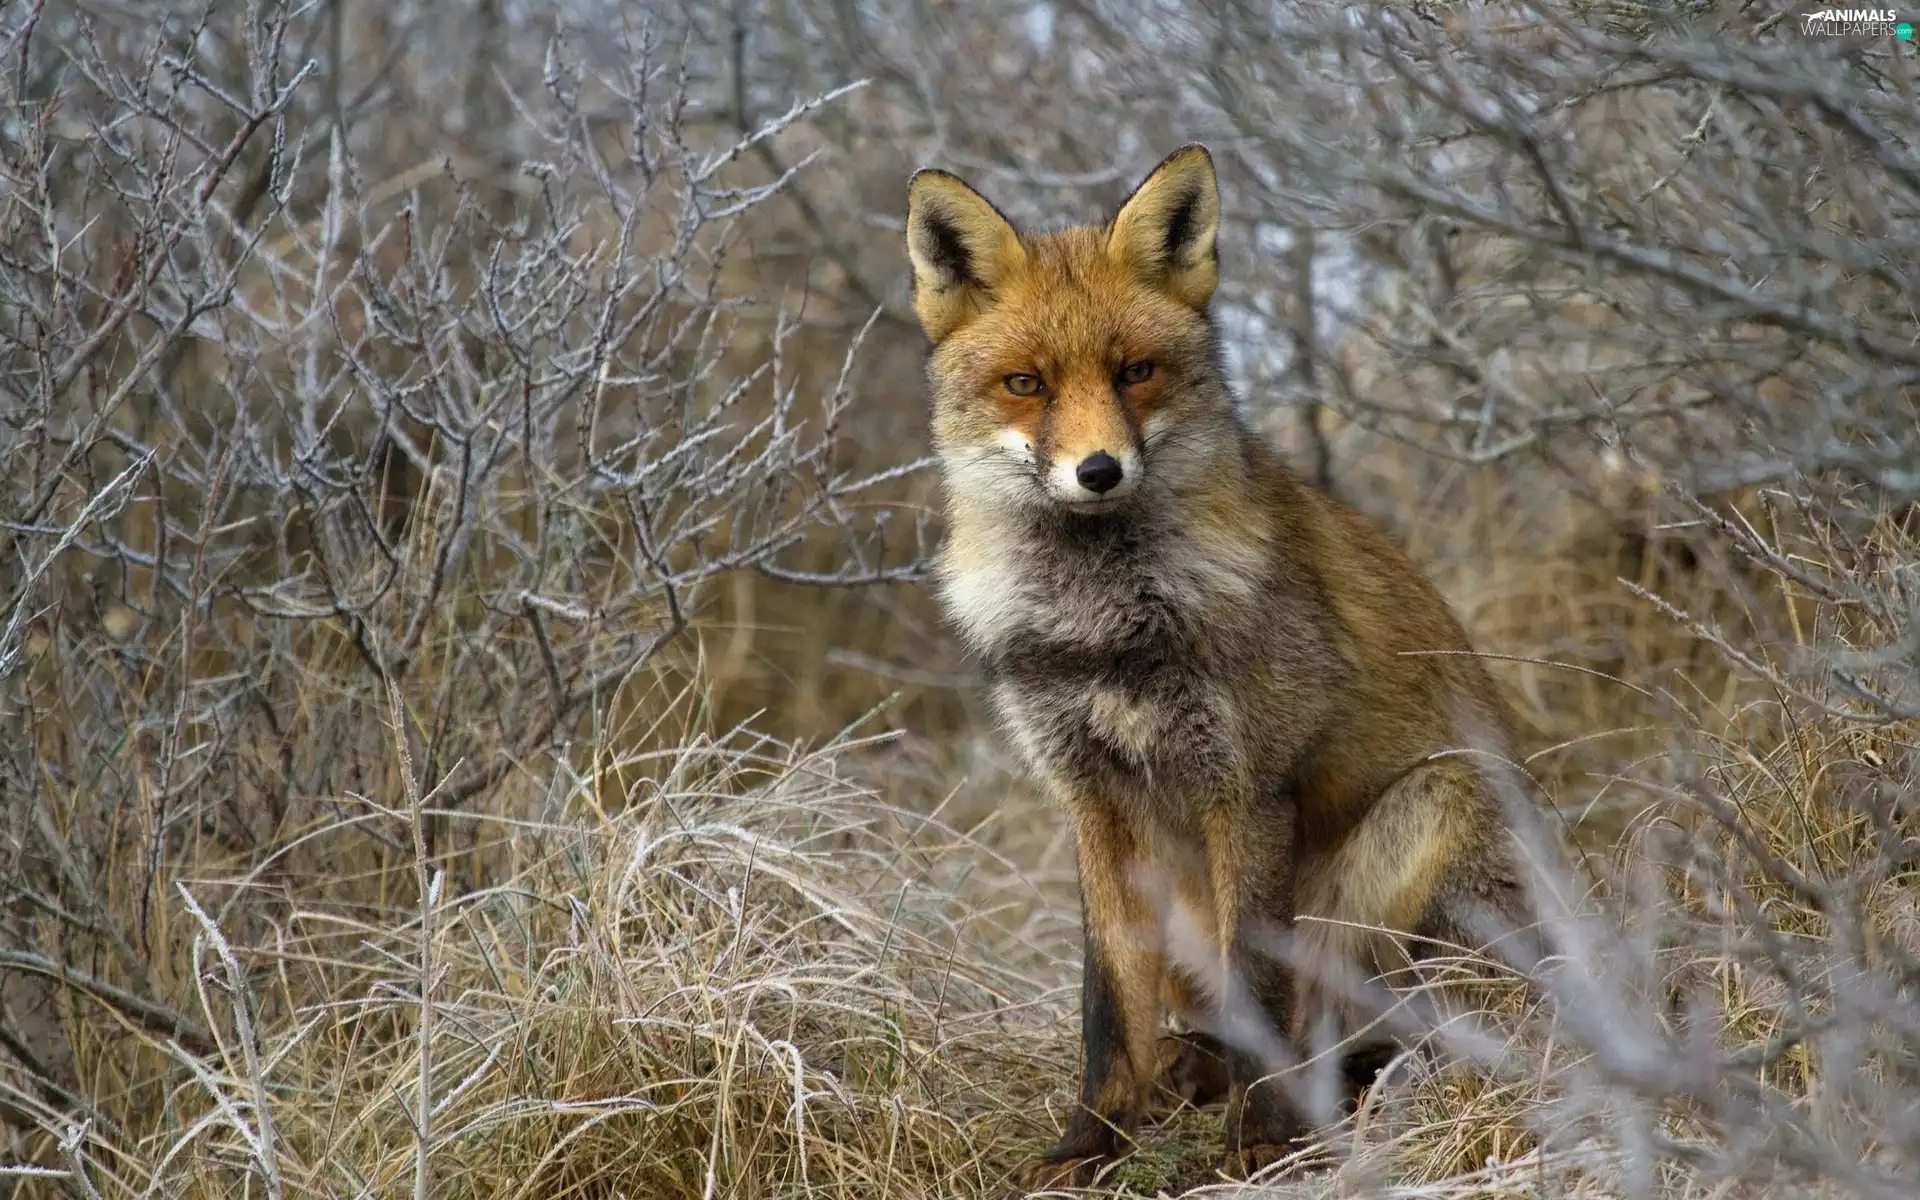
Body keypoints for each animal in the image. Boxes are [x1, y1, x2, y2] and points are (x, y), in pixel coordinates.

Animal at [904, 144, 1545, 1190]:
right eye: (1026, 383)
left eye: (1136, 372)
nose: (1098, 472)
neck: (1107, 633)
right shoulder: (1091, 799)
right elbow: (1105, 1003)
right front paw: (1091, 1143)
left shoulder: (1246, 788)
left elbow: (1257, 973)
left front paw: (1259, 1141)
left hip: (1430, 816)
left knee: (1357, 1029)